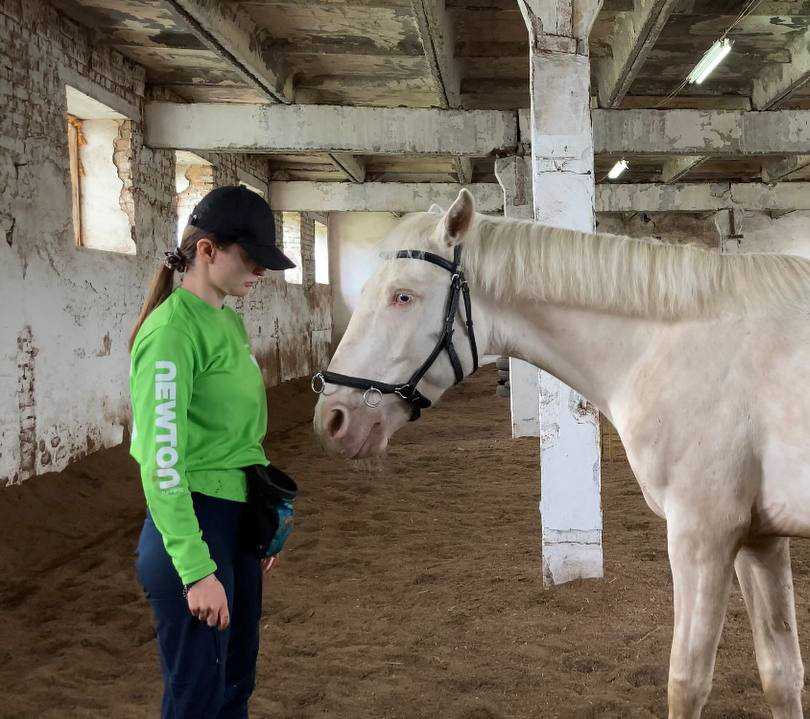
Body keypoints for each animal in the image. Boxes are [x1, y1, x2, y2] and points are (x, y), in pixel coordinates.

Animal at [312, 188, 808, 716]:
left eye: (402, 296)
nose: (333, 419)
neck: (675, 346)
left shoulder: (704, 533)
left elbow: (687, 682)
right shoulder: (758, 538)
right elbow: (780, 673)